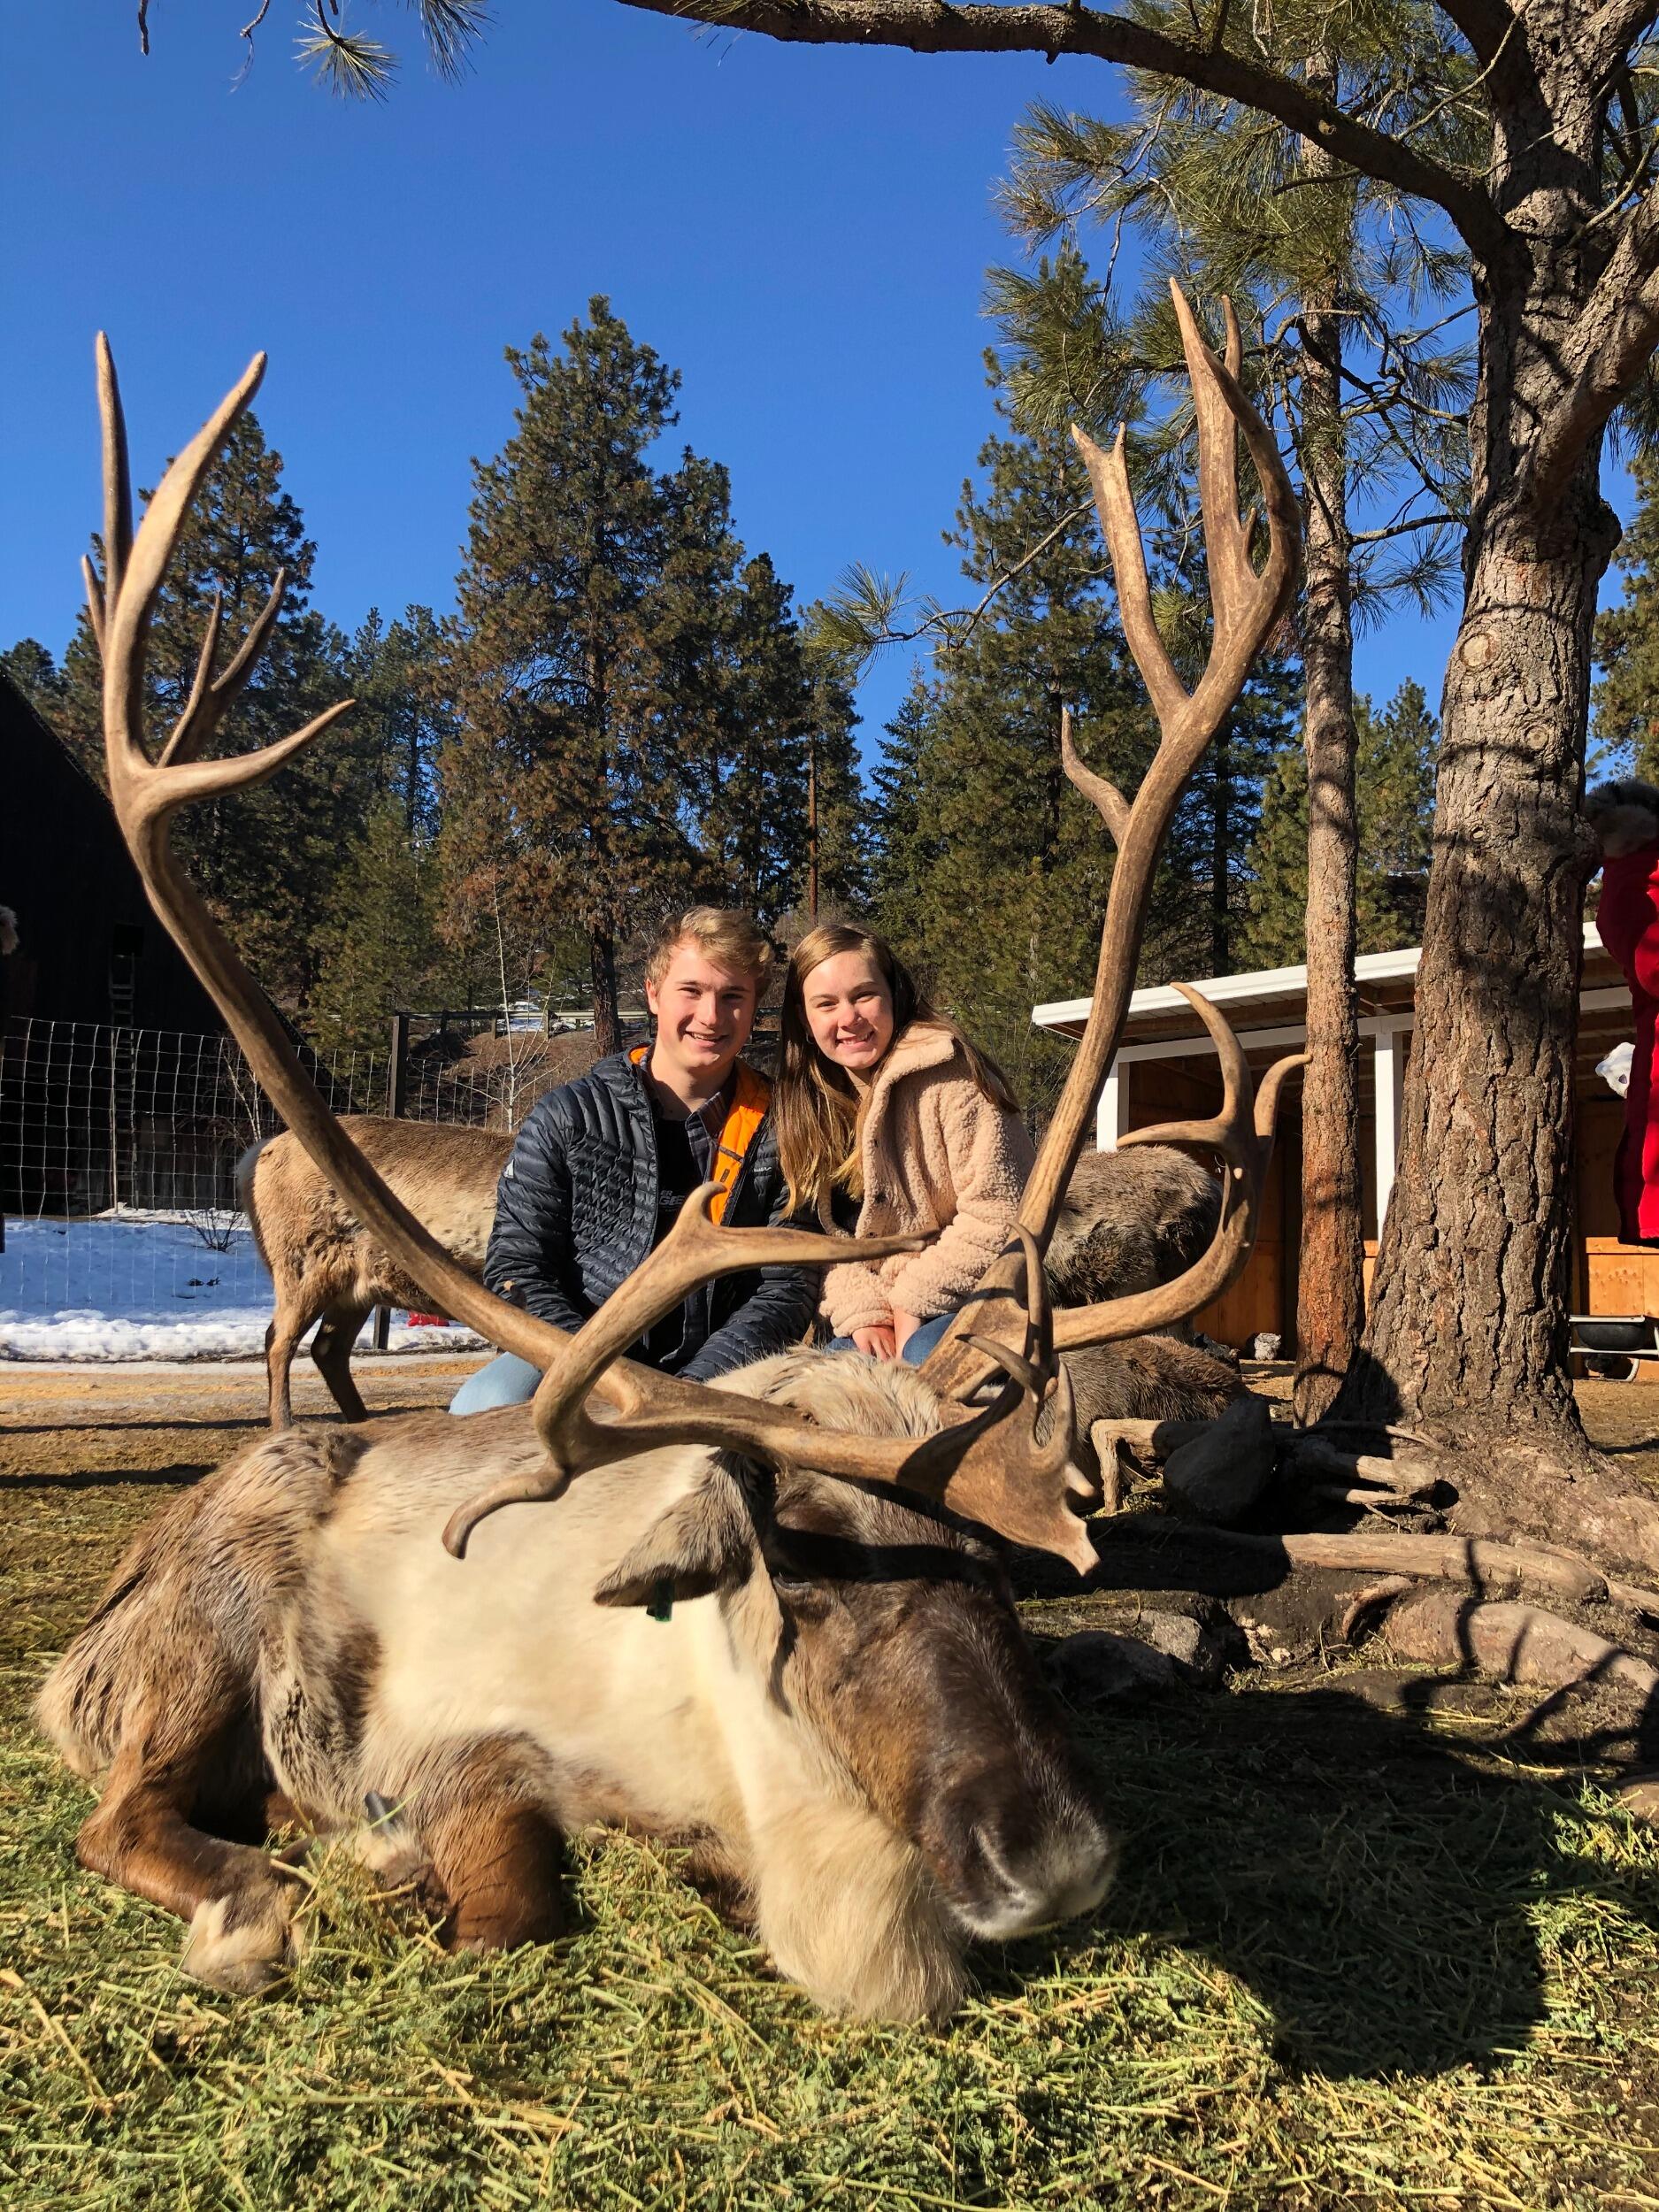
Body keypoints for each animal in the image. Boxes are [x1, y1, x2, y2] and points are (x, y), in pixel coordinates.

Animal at [38, 289, 1302, 2016]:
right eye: (804, 1574)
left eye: (991, 1566)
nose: (1050, 1863)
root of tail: (93, 1626)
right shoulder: (463, 1742)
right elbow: (508, 1888)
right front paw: (390, 1868)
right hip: (202, 1626)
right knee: (124, 1810)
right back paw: (255, 1895)